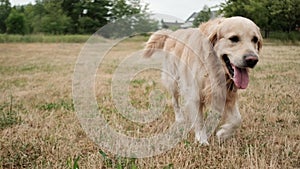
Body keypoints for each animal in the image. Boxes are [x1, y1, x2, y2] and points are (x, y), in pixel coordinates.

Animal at [144, 16, 262, 144]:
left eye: (255, 39)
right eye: (234, 39)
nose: (252, 60)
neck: (213, 68)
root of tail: (172, 34)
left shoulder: (226, 93)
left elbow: (237, 120)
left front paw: (223, 134)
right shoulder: (194, 94)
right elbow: (199, 120)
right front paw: (202, 140)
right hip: (173, 81)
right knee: (174, 101)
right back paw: (180, 119)